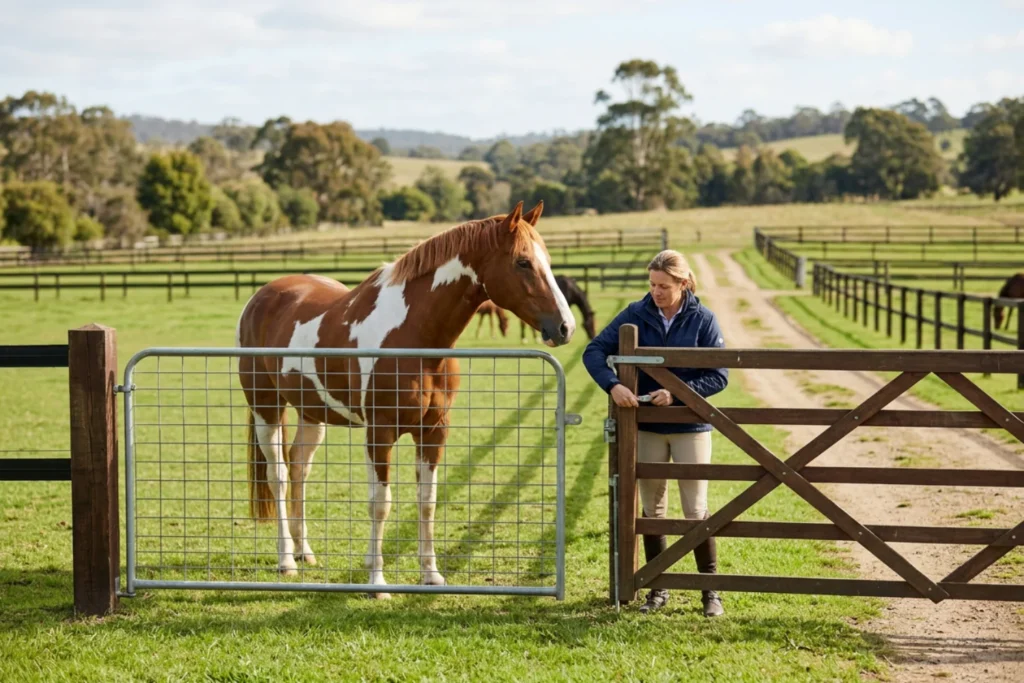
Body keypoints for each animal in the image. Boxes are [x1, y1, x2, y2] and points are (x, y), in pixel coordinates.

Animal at [236, 200, 575, 597]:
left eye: (546, 260)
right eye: (523, 262)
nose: (565, 327)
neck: (413, 334)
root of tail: (261, 296)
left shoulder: (433, 431)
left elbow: (427, 502)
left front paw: (431, 575)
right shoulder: (379, 433)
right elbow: (380, 504)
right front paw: (377, 581)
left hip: (312, 413)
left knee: (299, 469)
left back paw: (306, 552)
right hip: (266, 407)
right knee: (278, 475)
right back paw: (286, 560)